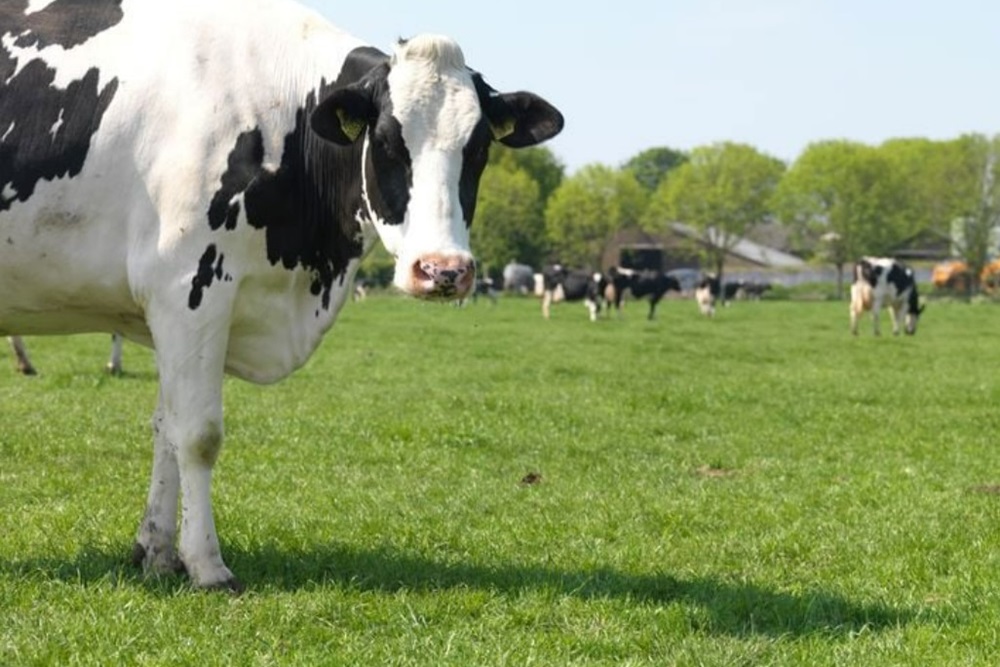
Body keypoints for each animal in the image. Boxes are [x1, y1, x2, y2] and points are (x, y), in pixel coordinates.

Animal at [0, 1, 564, 596]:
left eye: (478, 148)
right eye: (388, 141)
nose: (443, 270)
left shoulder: (180, 312)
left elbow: (166, 429)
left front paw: (156, 552)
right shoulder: (188, 288)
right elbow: (197, 434)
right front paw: (207, 565)